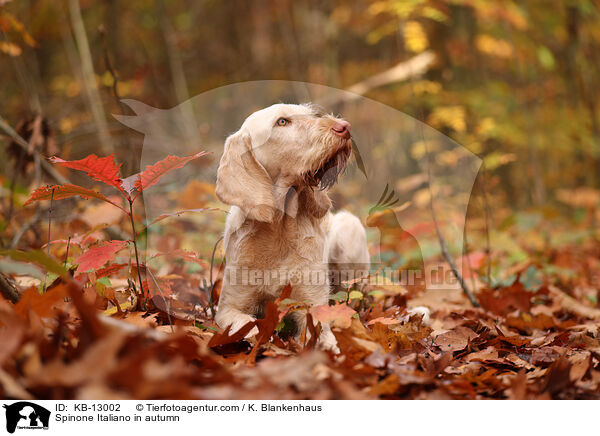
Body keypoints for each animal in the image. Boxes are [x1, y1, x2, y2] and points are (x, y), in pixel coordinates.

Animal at [213, 104, 368, 352]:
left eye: (309, 114)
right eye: (282, 121)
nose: (344, 127)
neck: (279, 229)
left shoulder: (312, 304)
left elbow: (322, 336)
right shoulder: (228, 307)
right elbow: (246, 324)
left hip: (349, 228)